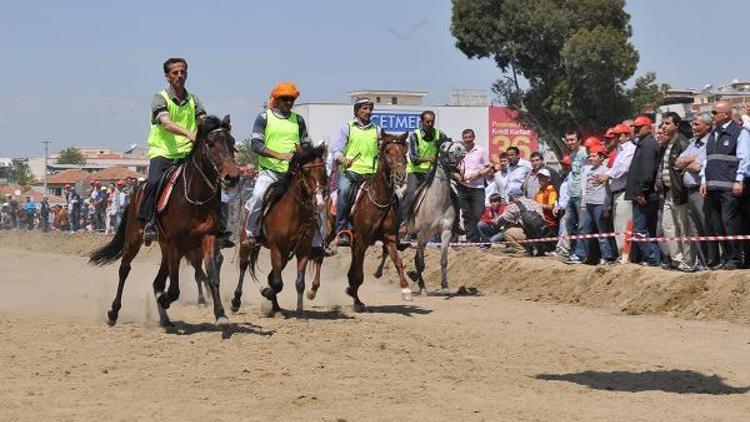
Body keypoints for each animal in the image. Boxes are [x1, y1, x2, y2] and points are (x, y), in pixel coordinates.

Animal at [88, 114, 241, 326]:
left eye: (232, 142)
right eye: (210, 143)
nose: (232, 178)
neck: (194, 196)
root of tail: (136, 190)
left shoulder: (207, 237)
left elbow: (211, 276)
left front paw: (220, 314)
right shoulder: (176, 242)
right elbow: (175, 288)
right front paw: (166, 299)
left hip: (165, 246)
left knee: (158, 281)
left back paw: (164, 318)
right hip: (134, 239)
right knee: (124, 269)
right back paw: (113, 313)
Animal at [234, 144, 328, 314]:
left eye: (324, 171)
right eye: (305, 171)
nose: (319, 202)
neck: (294, 213)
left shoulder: (303, 250)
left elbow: (299, 282)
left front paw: (299, 310)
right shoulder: (276, 248)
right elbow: (277, 283)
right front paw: (266, 291)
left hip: (285, 254)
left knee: (271, 276)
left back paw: (276, 307)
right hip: (247, 241)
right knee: (244, 266)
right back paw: (236, 301)